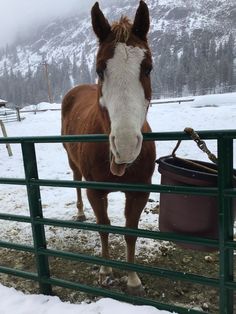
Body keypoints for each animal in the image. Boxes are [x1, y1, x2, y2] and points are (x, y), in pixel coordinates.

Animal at [61, 0, 156, 294]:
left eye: (147, 68)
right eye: (100, 69)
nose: (125, 145)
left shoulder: (139, 193)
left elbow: (130, 231)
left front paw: (134, 280)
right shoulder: (96, 191)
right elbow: (104, 227)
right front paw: (105, 271)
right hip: (73, 164)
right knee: (76, 181)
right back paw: (81, 213)